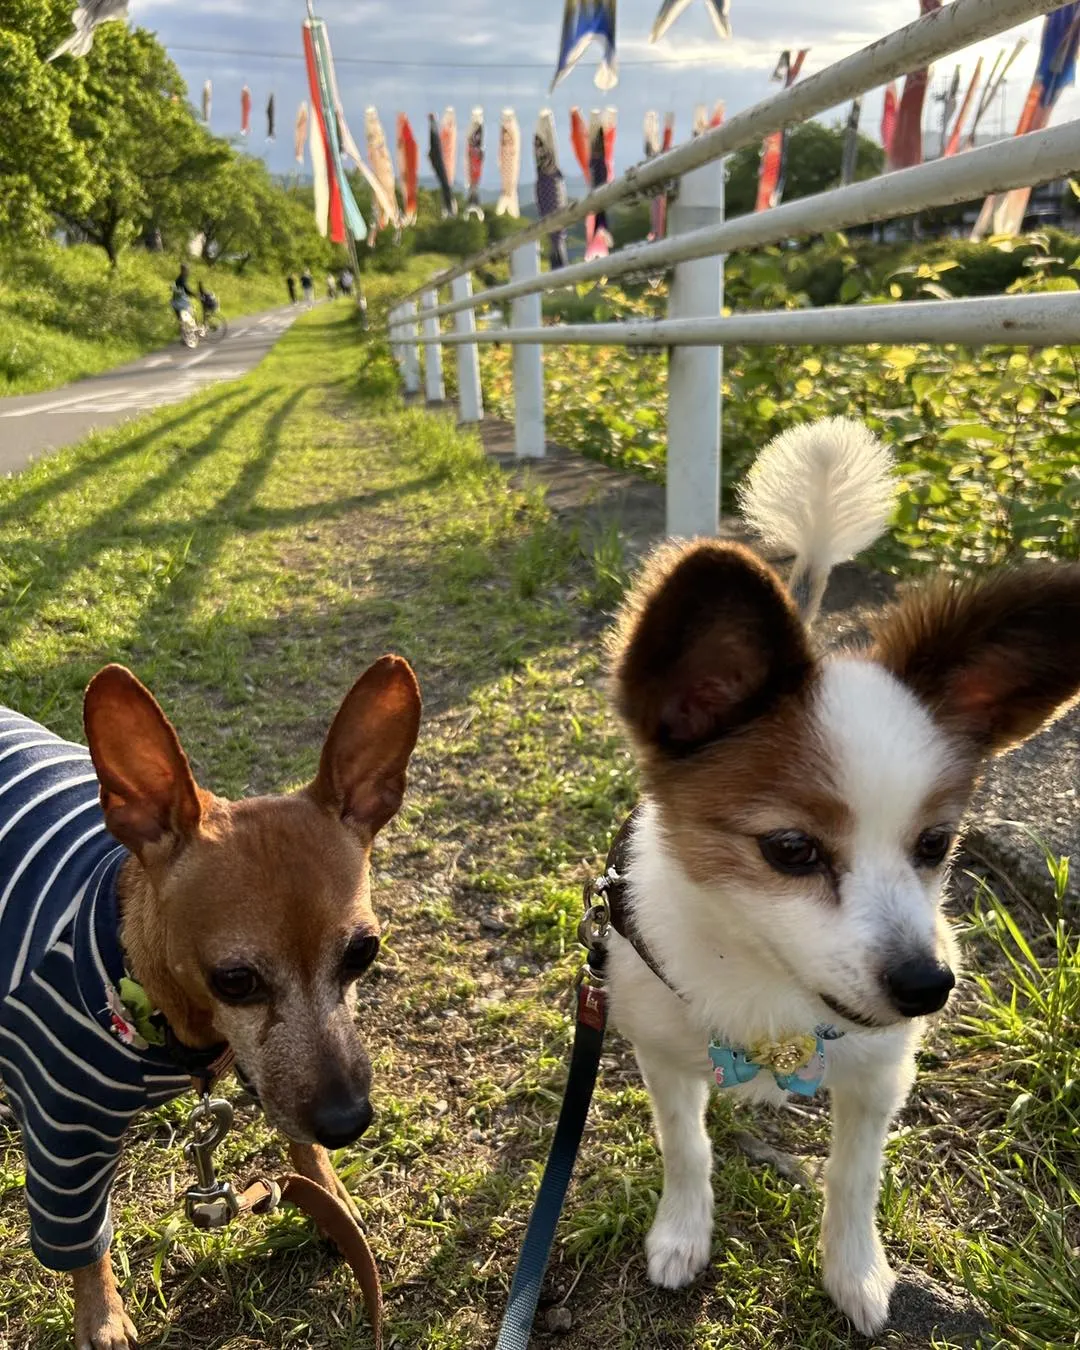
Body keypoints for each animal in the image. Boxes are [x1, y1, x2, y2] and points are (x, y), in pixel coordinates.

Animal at [0, 653, 421, 1339]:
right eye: (235, 980)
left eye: (364, 952)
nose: (347, 1121)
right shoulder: (66, 1135)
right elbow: (81, 1245)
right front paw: (101, 1316)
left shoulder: (266, 1071)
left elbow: (296, 1137)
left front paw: (329, 1196)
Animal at [607, 415, 1080, 1333]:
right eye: (791, 850)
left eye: (935, 843)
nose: (928, 986)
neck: (767, 984)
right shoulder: (666, 1052)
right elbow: (685, 1147)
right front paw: (682, 1231)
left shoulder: (878, 1075)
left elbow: (853, 1178)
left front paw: (854, 1271)